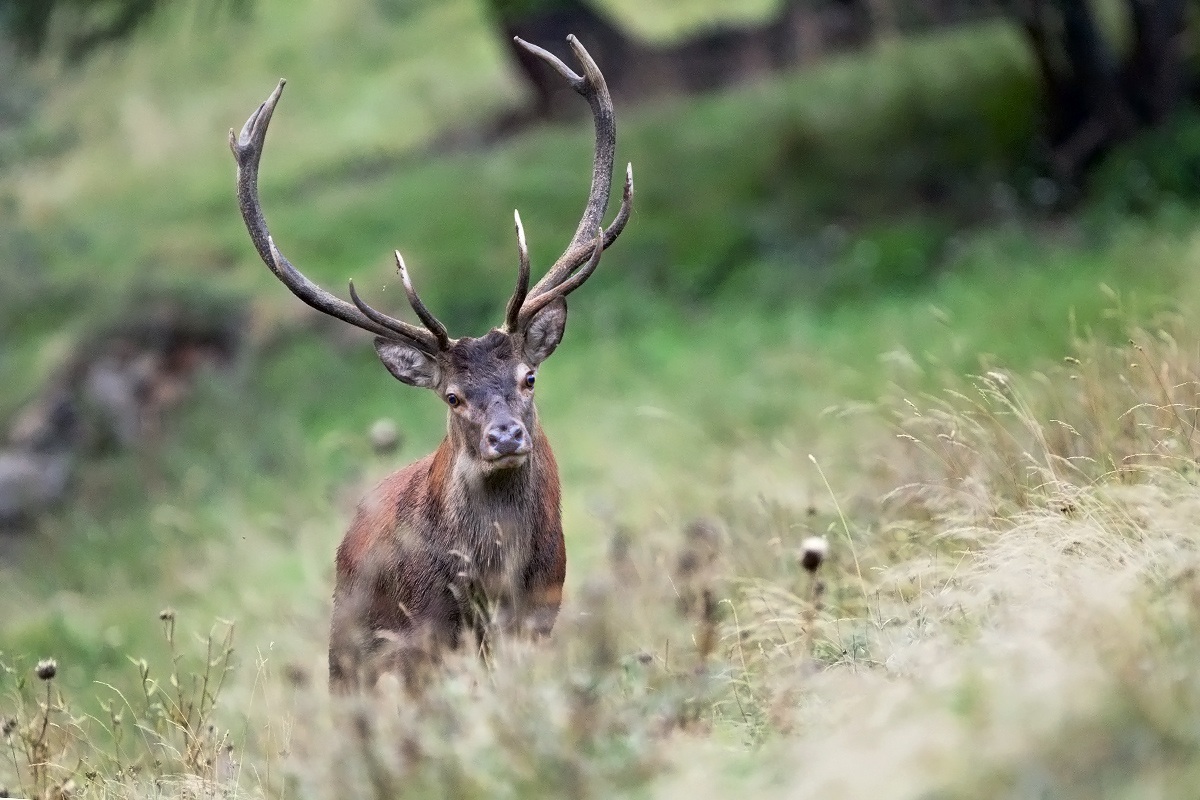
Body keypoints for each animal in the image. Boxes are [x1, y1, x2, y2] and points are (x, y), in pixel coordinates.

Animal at [230, 35, 633, 692]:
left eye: (528, 377)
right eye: (452, 396)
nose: (505, 435)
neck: (492, 578)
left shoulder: (540, 608)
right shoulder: (426, 632)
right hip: (349, 646)